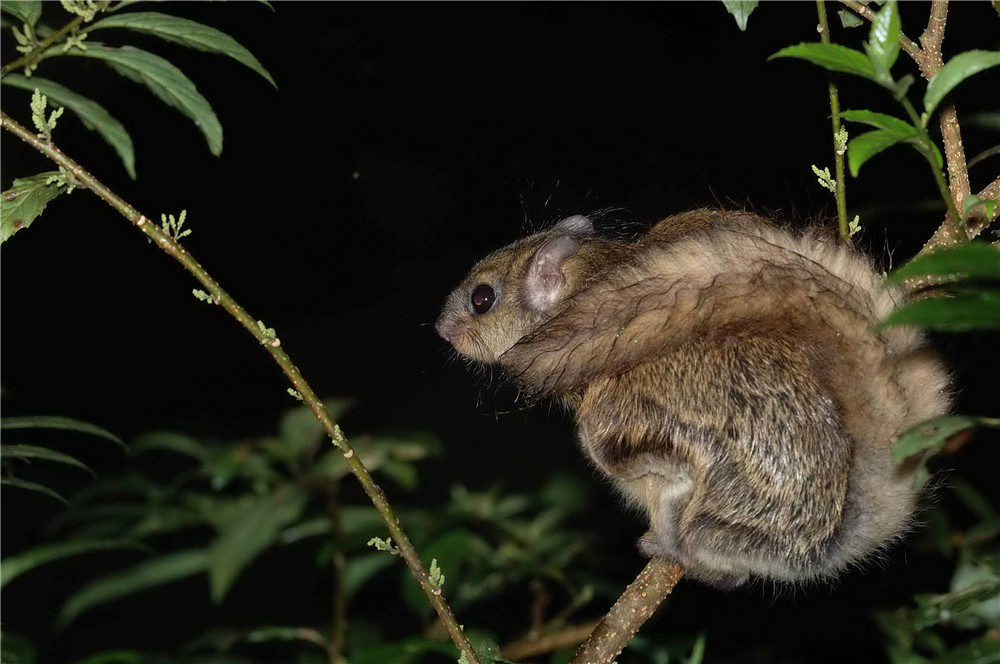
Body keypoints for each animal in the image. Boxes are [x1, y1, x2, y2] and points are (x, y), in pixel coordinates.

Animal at [438, 209, 952, 588]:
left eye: (482, 299)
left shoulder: (624, 420)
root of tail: (829, 540)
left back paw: (668, 547)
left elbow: (664, 470)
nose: (441, 329)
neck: (587, 282)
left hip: (716, 524)